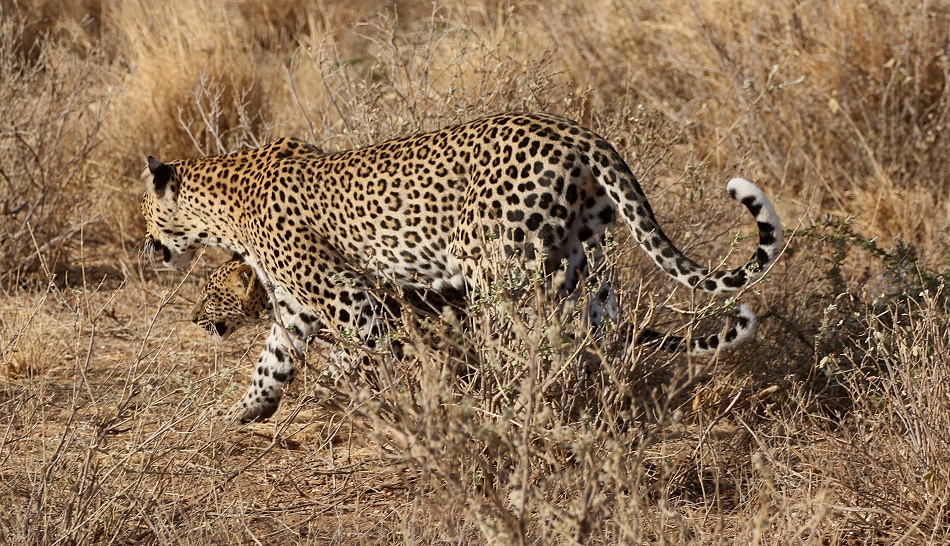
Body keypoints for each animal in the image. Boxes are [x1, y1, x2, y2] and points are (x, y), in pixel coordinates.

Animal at [141, 112, 783, 424]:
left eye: (212, 295)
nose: (149, 248)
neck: (222, 205)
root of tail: (580, 134)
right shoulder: (296, 308)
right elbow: (270, 365)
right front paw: (240, 414)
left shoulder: (347, 296)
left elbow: (372, 349)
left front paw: (398, 398)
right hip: (582, 265)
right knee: (592, 339)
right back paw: (591, 401)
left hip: (500, 267)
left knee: (521, 346)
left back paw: (505, 408)